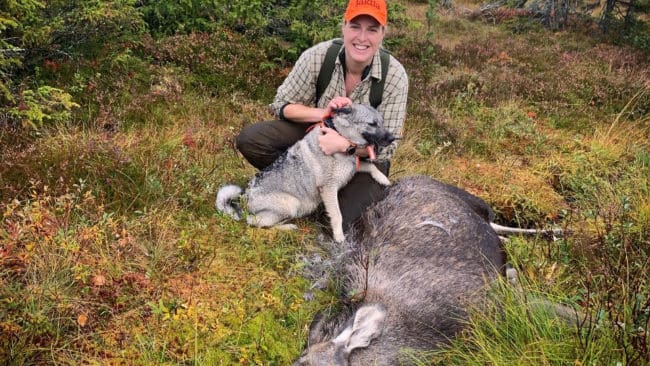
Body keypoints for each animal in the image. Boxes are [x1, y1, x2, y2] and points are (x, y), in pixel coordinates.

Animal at [215, 103, 392, 243]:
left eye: (382, 122)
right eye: (372, 124)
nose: (393, 138)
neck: (339, 135)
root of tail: (245, 198)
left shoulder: (353, 166)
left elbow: (371, 167)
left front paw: (383, 178)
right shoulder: (329, 189)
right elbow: (337, 215)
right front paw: (339, 237)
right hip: (291, 204)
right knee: (254, 222)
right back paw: (287, 227)